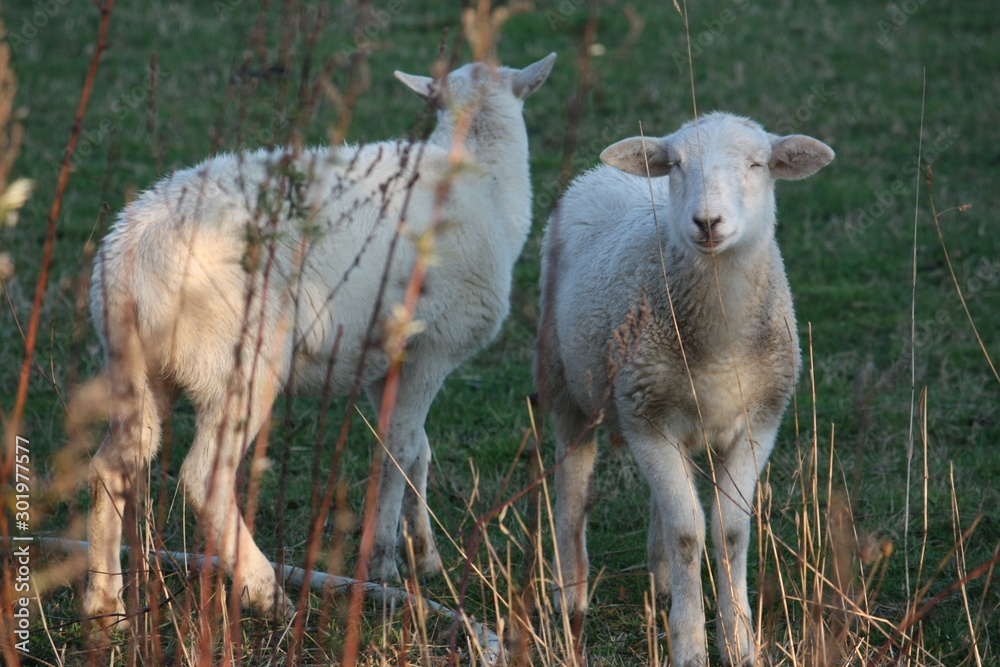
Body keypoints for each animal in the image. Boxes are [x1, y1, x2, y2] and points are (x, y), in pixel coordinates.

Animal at [83, 53, 556, 630]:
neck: (484, 180)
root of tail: (128, 262)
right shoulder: (431, 351)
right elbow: (399, 451)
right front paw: (384, 564)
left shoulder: (385, 362)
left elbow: (414, 448)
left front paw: (423, 553)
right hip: (241, 363)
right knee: (205, 478)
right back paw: (267, 593)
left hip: (138, 369)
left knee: (113, 463)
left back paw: (105, 603)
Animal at [536, 111, 834, 666]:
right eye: (675, 164)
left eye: (758, 164)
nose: (707, 222)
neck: (719, 343)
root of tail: (602, 174)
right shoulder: (648, 421)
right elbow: (687, 533)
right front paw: (691, 644)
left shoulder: (758, 422)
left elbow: (728, 531)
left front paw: (739, 642)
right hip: (564, 383)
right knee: (572, 486)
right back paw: (570, 594)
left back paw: (660, 581)